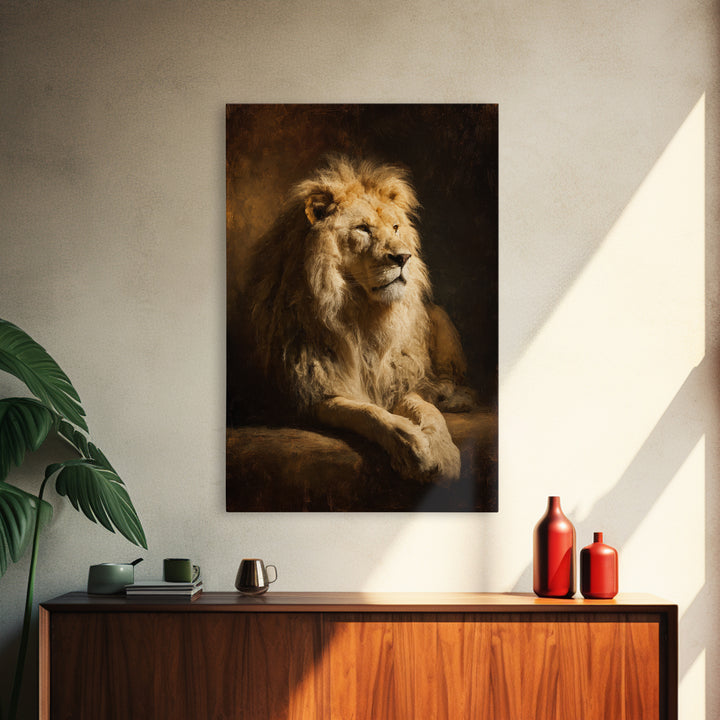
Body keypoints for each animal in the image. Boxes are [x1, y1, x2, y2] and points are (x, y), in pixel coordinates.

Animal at [244, 155, 474, 483]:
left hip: (440, 317)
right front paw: (412, 446)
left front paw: (443, 452)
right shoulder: (316, 395)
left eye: (395, 227)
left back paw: (449, 397)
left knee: (451, 381)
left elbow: (429, 411)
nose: (403, 257)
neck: (363, 313)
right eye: (363, 229)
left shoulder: (399, 381)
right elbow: (368, 413)